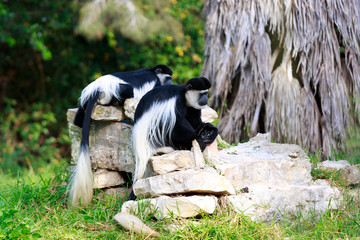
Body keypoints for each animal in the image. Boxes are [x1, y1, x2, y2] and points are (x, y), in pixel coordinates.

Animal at [69, 64, 174, 205]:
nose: (171, 83)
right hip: (113, 91)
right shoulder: (155, 82)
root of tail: (97, 88)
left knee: (78, 120)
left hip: (85, 103)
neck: (153, 72)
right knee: (127, 89)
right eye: (168, 78)